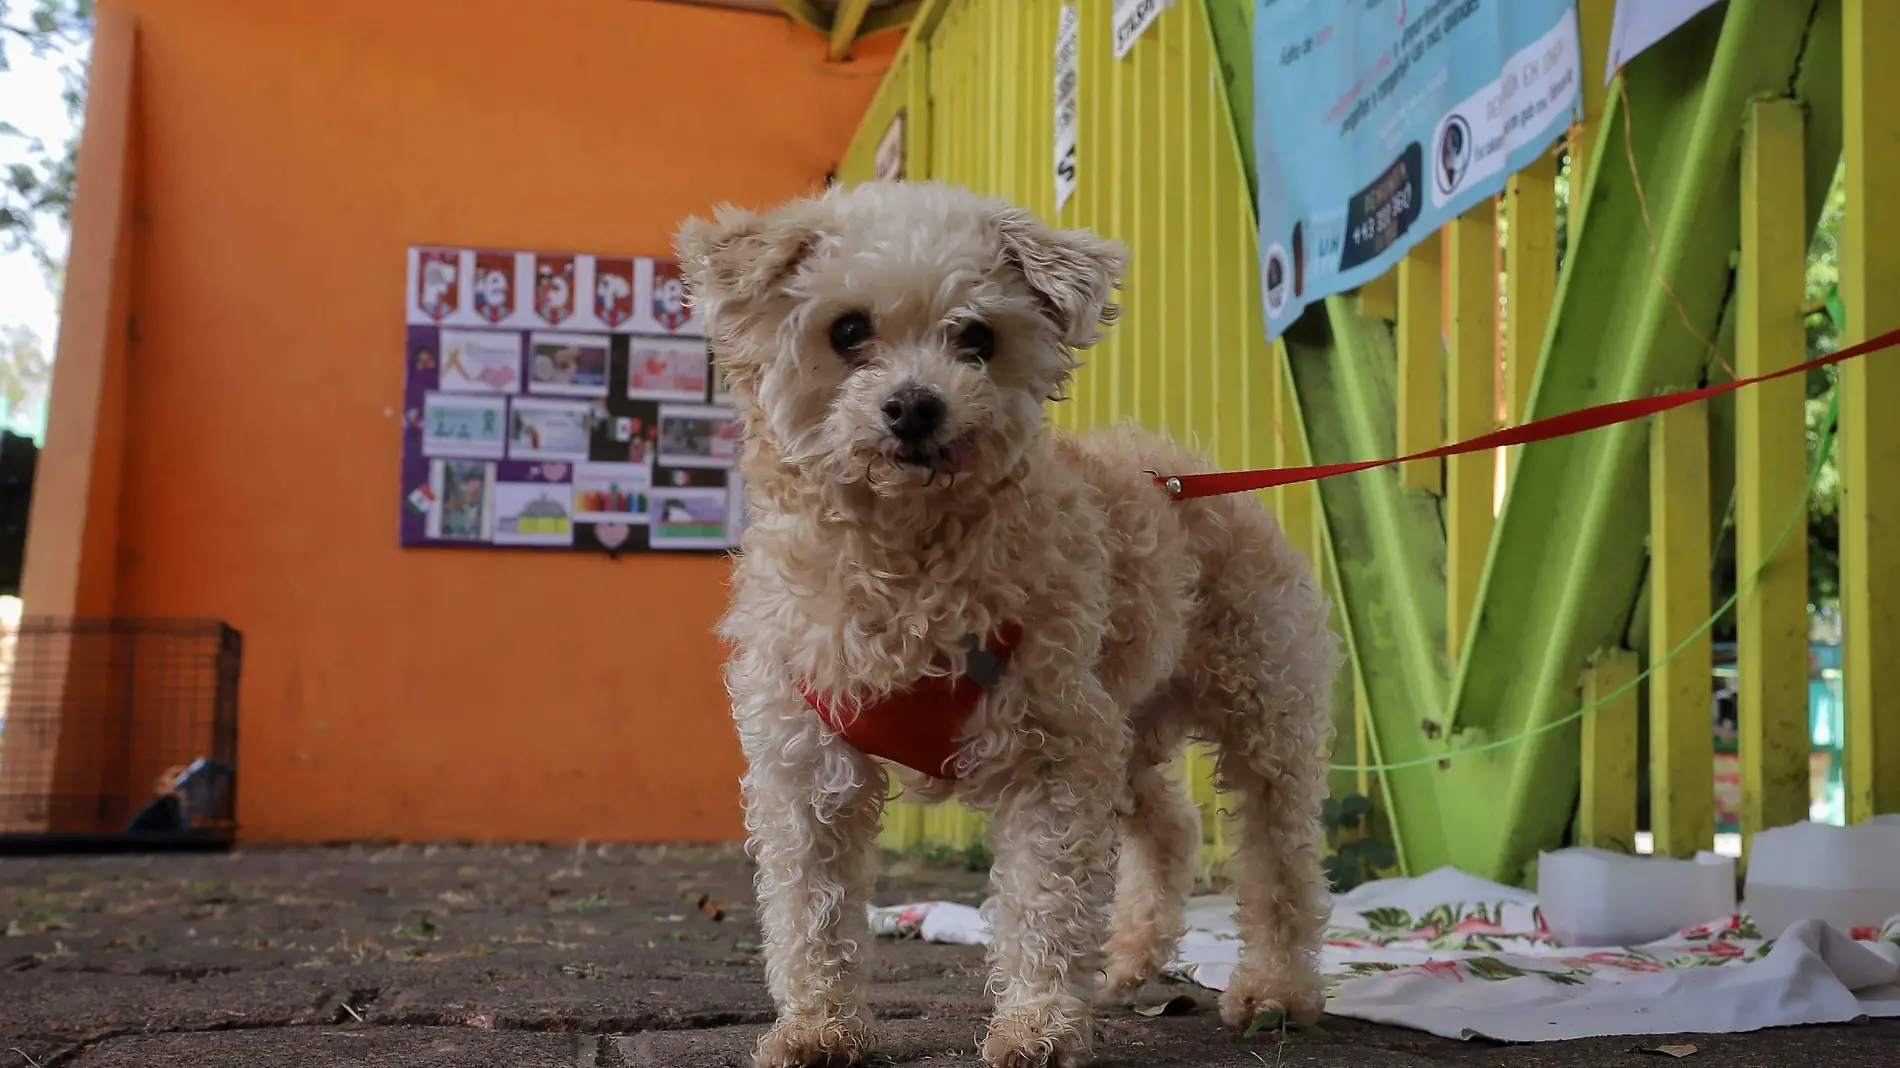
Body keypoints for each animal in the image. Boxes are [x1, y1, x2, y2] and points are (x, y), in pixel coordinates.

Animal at [676, 178, 1345, 1056]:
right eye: (848, 330)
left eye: (978, 337)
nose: (914, 407)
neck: (909, 567)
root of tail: (1197, 474)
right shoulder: (806, 757)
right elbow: (811, 907)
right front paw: (819, 1029)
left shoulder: (1050, 755)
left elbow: (1042, 904)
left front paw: (1037, 1025)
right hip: (1124, 718)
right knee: (1171, 824)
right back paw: (1130, 958)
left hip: (1257, 706)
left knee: (1280, 854)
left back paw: (1276, 989)